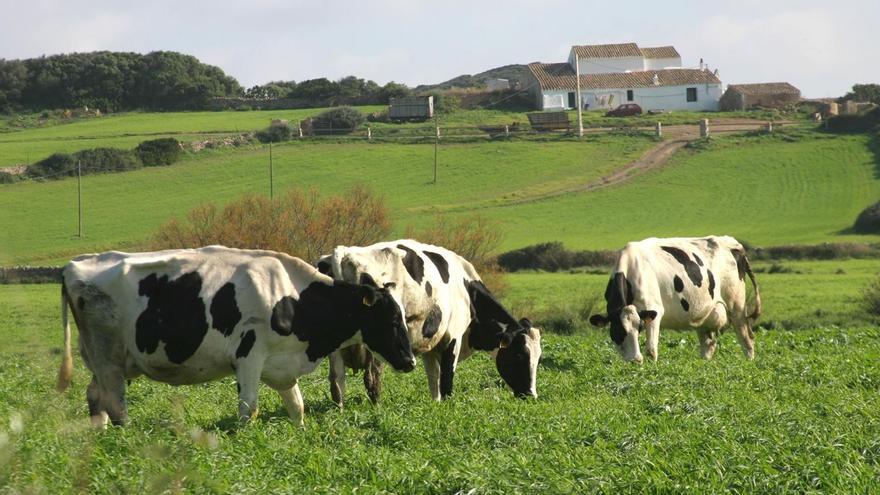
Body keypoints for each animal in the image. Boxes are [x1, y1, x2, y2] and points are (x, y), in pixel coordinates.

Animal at [56, 246, 418, 428]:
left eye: (404, 317)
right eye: (390, 320)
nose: (411, 361)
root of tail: (73, 265)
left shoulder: (282, 364)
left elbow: (297, 407)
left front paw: (300, 435)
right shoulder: (250, 356)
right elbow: (249, 410)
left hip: (102, 361)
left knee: (95, 398)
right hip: (109, 358)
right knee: (116, 405)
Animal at [312, 240, 540, 406]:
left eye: (538, 359)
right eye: (519, 354)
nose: (531, 395)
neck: (466, 290)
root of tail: (345, 253)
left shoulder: (430, 345)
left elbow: (433, 379)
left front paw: (435, 405)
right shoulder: (452, 337)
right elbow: (446, 379)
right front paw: (447, 406)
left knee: (337, 381)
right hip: (379, 341)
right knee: (372, 378)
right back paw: (377, 408)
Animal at [588, 236, 760, 364]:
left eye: (640, 328)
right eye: (618, 331)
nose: (636, 360)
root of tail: (734, 243)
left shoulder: (654, 311)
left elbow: (651, 351)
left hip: (736, 307)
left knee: (747, 340)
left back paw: (749, 363)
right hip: (705, 314)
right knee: (708, 345)